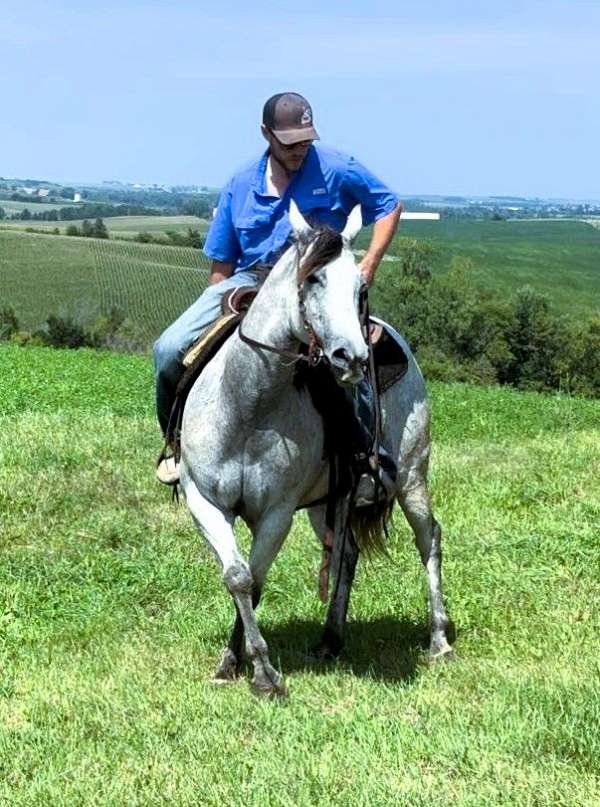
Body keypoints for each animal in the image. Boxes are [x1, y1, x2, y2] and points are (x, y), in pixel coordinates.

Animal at [180, 202, 452, 696]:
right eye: (313, 279)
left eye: (360, 286)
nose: (352, 356)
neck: (247, 405)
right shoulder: (204, 501)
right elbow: (238, 577)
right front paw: (231, 663)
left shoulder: (277, 513)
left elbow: (255, 579)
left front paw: (262, 671)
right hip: (328, 499)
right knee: (346, 553)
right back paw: (330, 638)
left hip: (411, 477)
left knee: (429, 539)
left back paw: (439, 639)